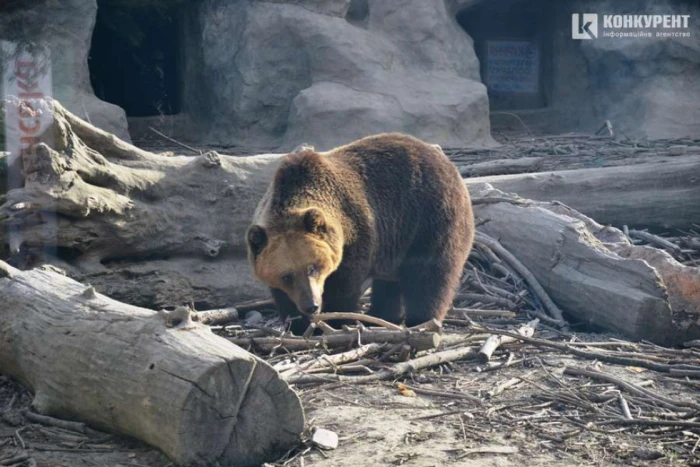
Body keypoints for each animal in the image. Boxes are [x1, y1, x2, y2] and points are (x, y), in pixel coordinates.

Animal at [246, 133, 476, 334]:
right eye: (287, 276)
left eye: (313, 267)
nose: (311, 304)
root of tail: (445, 159)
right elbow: (283, 297)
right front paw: (298, 324)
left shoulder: (356, 236)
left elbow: (342, 288)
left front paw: (336, 321)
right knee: (388, 283)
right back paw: (381, 317)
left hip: (429, 217)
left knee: (428, 275)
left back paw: (420, 321)